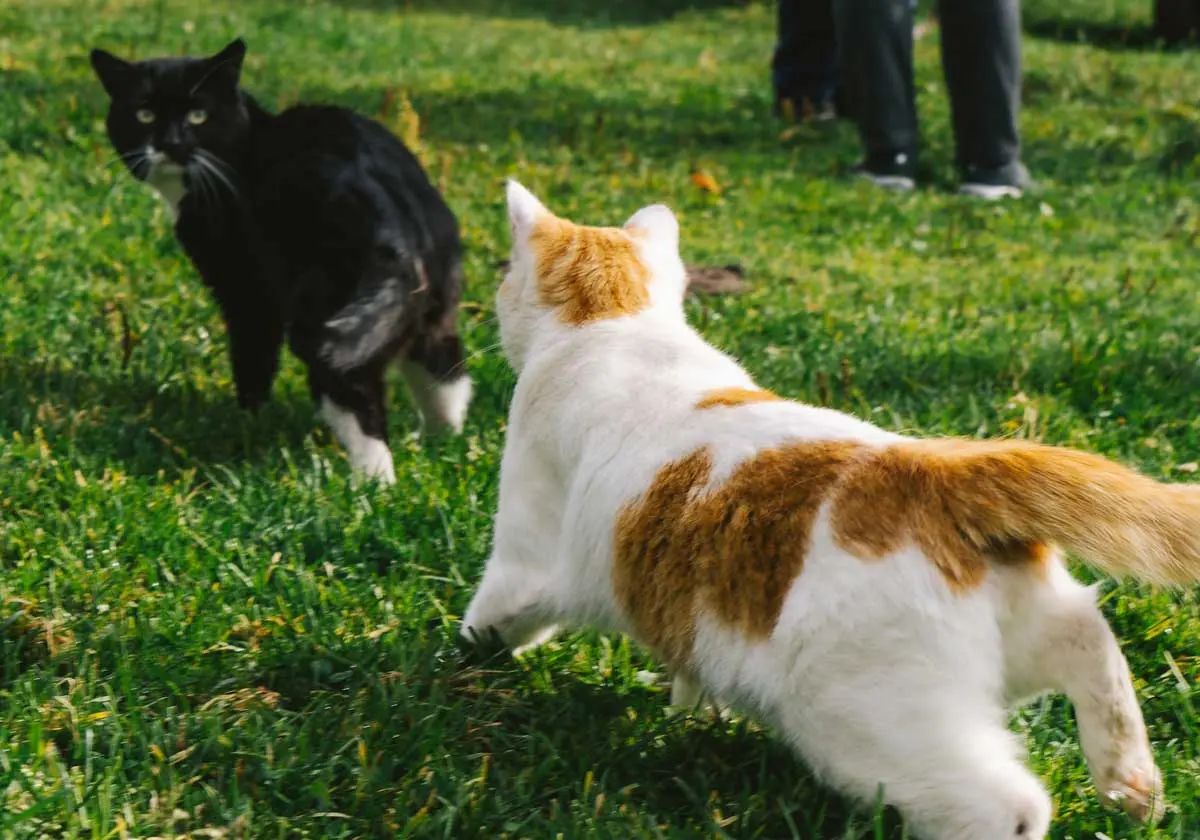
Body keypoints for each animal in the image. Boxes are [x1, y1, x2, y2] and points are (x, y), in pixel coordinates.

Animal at [88, 39, 470, 482]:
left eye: (198, 115)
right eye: (145, 114)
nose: (169, 143)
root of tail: (391, 220)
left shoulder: (246, 288)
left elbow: (253, 356)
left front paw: (248, 420)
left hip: (323, 318)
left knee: (359, 399)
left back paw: (373, 484)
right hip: (431, 302)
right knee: (446, 370)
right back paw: (443, 445)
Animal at [460, 182, 1200, 840]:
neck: (613, 322)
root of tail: (932, 470)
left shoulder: (524, 555)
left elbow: (491, 617)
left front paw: (461, 665)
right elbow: (688, 667)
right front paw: (688, 710)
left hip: (860, 716)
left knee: (1009, 806)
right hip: (1027, 636)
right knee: (1093, 642)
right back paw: (1132, 786)